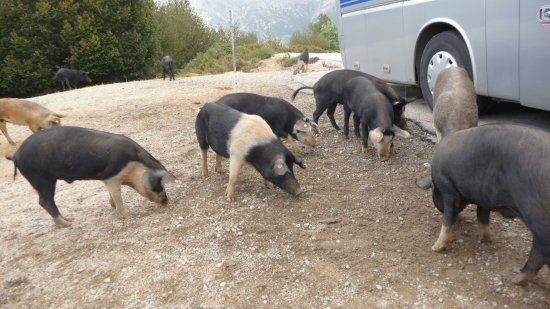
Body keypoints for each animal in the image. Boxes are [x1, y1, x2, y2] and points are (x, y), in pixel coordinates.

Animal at [5, 124, 175, 227]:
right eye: (160, 185)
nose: (167, 201)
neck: (133, 167)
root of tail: (16, 155)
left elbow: (112, 197)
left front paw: (112, 206)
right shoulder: (111, 177)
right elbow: (118, 198)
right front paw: (128, 216)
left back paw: (67, 220)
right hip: (41, 178)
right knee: (44, 201)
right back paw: (68, 224)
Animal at [432, 122, 550, 284]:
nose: (437, 204)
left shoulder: (448, 188)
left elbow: (449, 218)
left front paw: (435, 248)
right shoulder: (484, 197)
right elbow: (482, 216)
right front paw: (486, 240)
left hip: (539, 221)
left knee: (539, 254)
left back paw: (514, 280)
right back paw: (516, 279)